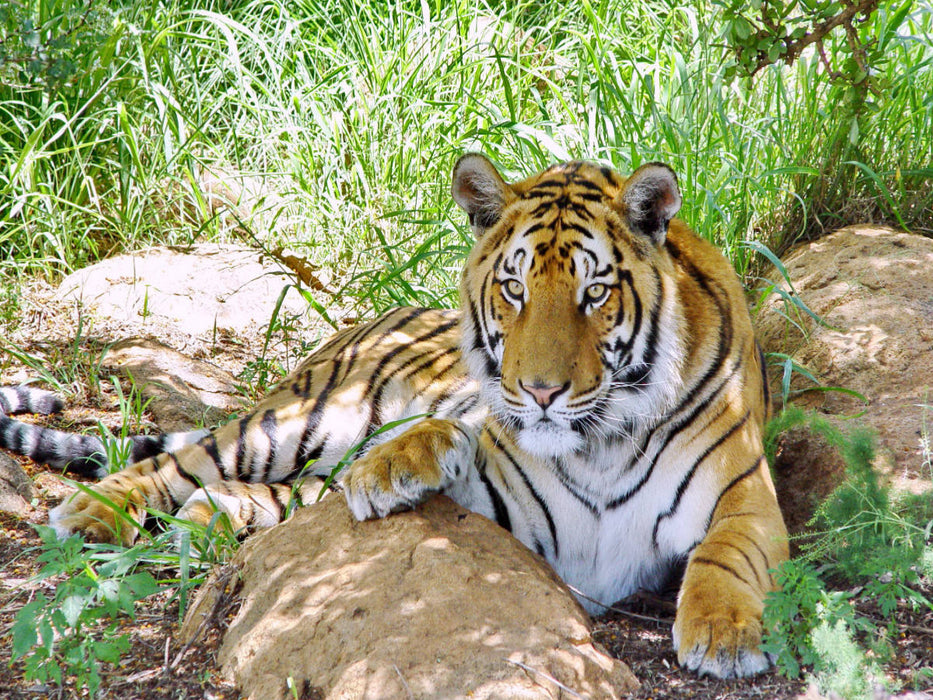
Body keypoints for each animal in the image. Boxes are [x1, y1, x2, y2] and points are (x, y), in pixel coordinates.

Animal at [1, 155, 788, 679]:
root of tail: (353, 328)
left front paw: (720, 634)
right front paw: (395, 467)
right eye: (514, 288)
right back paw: (92, 511)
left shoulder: (748, 499)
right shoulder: (513, 506)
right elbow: (450, 436)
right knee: (183, 462)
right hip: (296, 419)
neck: (598, 442)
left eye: (594, 293)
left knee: (263, 496)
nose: (538, 392)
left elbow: (726, 553)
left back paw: (212, 518)